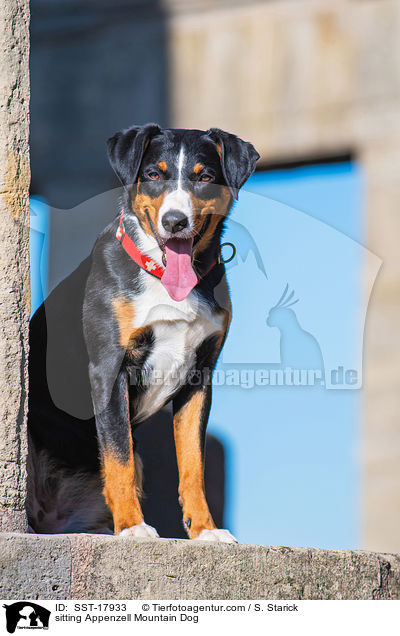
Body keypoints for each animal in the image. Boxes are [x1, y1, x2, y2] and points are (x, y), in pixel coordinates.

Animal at [27, 124, 260, 540]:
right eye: (153, 174)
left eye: (204, 177)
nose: (175, 221)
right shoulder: (108, 368)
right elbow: (118, 455)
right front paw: (133, 527)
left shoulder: (199, 377)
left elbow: (193, 465)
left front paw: (205, 530)